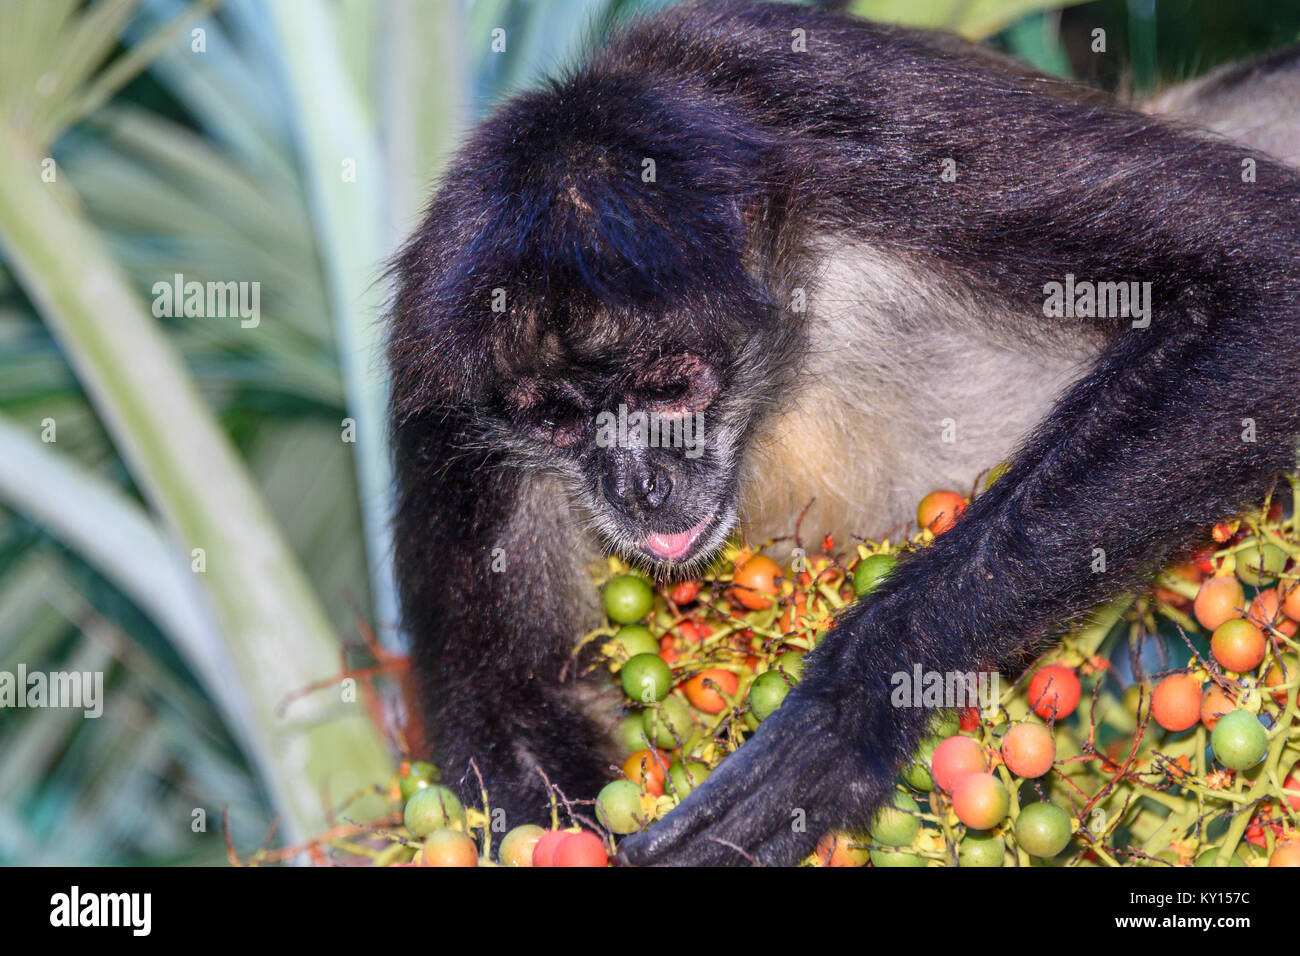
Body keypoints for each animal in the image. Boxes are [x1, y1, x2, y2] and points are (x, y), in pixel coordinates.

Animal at [384, 0, 1300, 868]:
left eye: (672, 386)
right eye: (557, 419)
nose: (638, 486)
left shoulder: (833, 100)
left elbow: (1266, 277)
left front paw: (849, 706)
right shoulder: (431, 351)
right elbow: (510, 714)